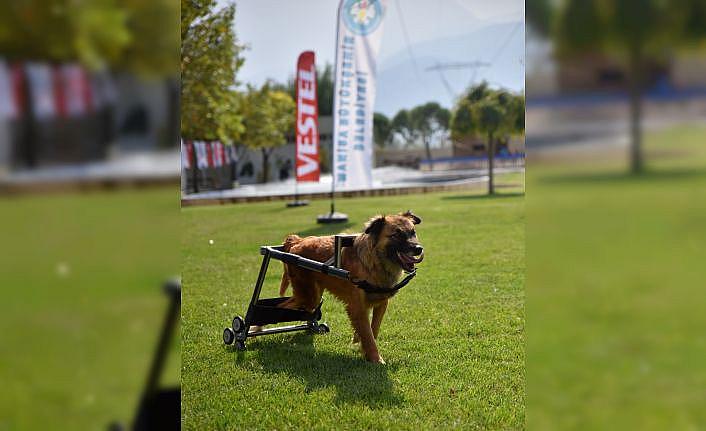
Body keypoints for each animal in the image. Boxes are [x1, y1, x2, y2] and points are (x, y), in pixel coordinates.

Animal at [276, 212, 424, 364]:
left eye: (413, 232)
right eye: (396, 235)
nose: (419, 249)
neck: (374, 262)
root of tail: (298, 241)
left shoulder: (381, 302)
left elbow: (373, 329)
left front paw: (361, 346)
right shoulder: (357, 306)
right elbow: (368, 334)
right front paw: (375, 358)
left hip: (312, 296)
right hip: (307, 296)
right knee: (282, 306)